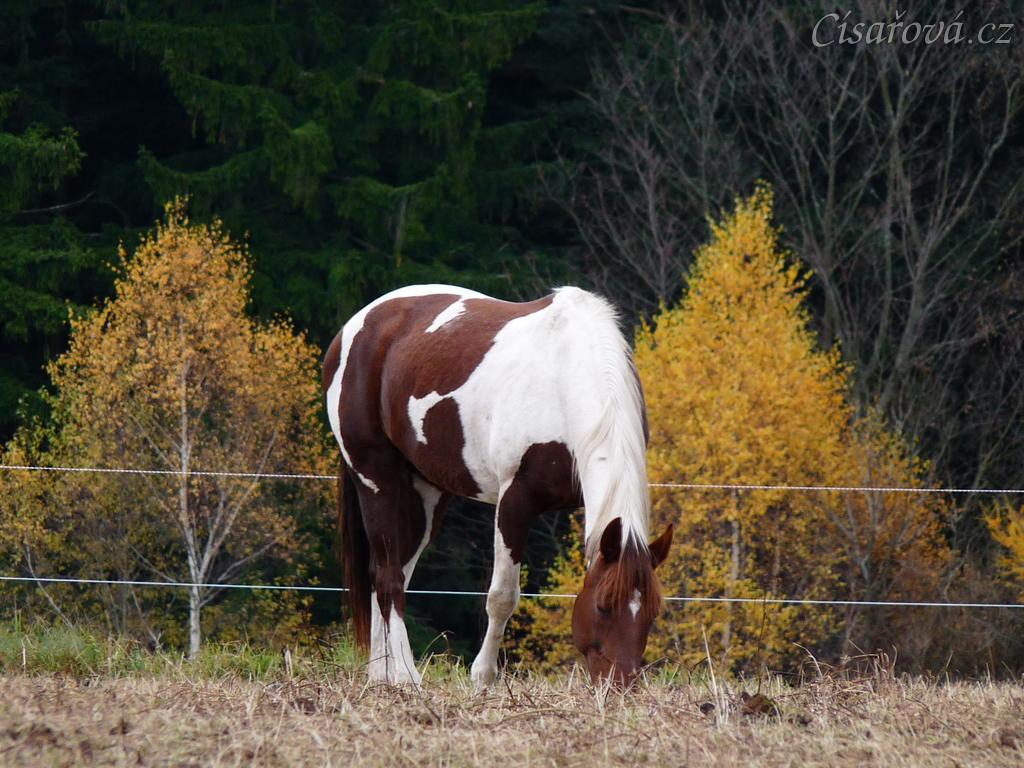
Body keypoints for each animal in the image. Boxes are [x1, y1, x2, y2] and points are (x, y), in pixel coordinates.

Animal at [322, 284, 673, 688]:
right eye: (603, 606)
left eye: (652, 612)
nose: (620, 684)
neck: (563, 374)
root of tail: (357, 325)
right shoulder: (515, 501)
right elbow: (502, 596)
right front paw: (483, 677)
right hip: (375, 478)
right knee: (389, 577)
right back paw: (408, 677)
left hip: (425, 495)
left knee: (389, 571)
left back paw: (382, 676)